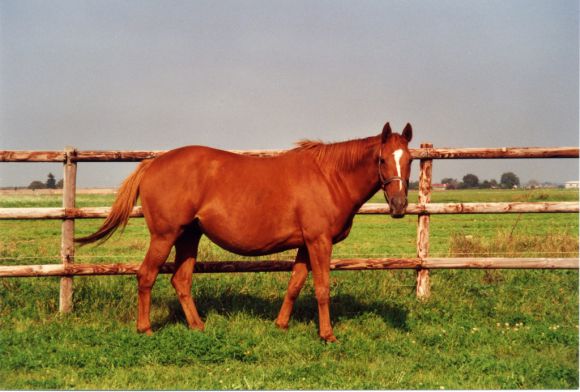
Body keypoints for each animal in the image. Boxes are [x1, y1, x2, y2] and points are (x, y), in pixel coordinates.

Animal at [76, 121, 412, 342]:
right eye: (382, 159)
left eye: (409, 159)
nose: (399, 205)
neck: (329, 176)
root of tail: (152, 163)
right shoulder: (320, 242)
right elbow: (322, 288)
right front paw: (327, 335)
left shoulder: (305, 244)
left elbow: (295, 284)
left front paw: (281, 325)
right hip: (164, 235)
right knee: (146, 276)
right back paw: (144, 328)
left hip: (189, 235)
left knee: (180, 280)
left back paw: (197, 326)